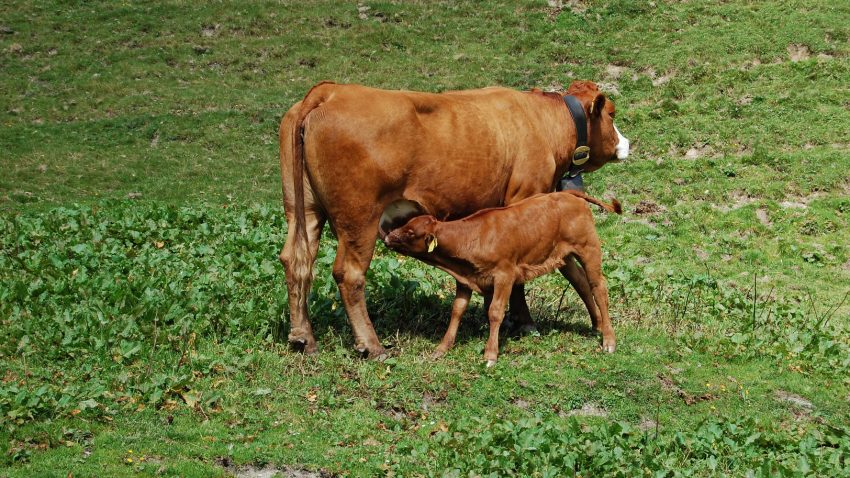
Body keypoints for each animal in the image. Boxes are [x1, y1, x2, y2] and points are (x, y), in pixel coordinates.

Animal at [384, 190, 621, 366]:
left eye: (410, 232)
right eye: (404, 225)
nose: (387, 237)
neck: (470, 238)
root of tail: (569, 194)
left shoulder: (505, 275)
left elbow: (495, 312)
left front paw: (490, 355)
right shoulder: (464, 279)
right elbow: (457, 310)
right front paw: (442, 348)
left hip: (589, 248)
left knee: (599, 287)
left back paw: (608, 340)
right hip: (565, 257)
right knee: (581, 283)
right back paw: (597, 325)